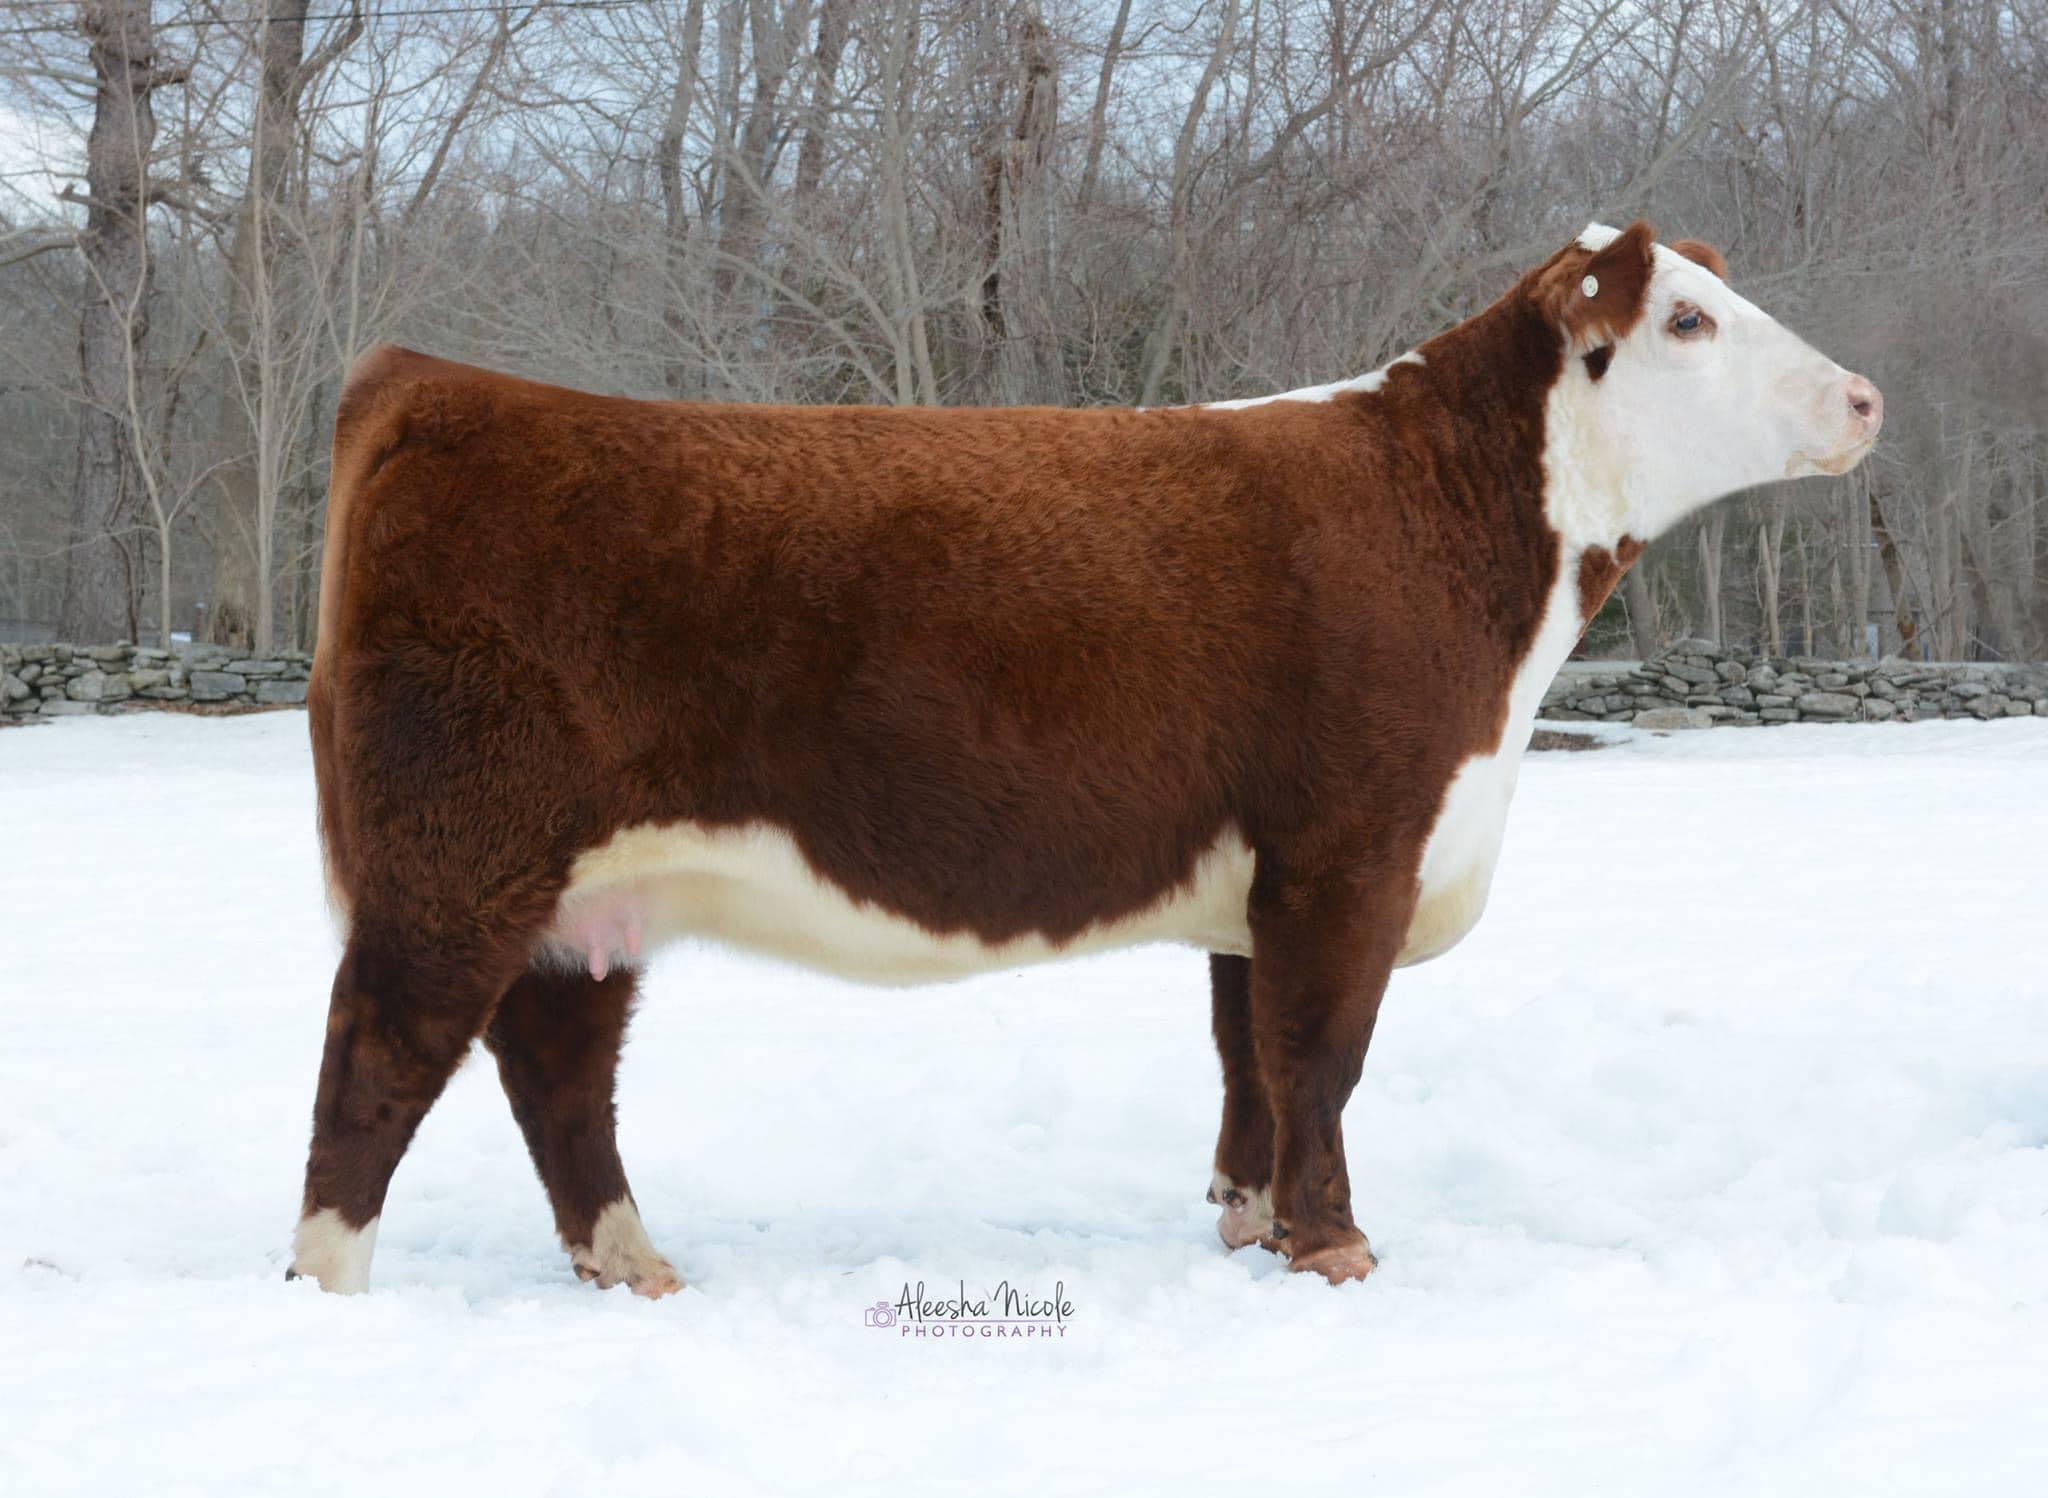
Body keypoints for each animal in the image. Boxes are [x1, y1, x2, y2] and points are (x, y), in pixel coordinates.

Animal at [289, 221, 1881, 1295]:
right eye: (1689, 320)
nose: (1864, 398)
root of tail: (434, 385)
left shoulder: (1260, 874)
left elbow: (1249, 1056)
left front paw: (1250, 1223)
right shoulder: (1352, 845)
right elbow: (1323, 1053)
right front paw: (1339, 1250)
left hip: (581, 898)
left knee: (556, 1064)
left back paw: (636, 1267)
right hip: (455, 863)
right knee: (379, 1058)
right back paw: (334, 1287)